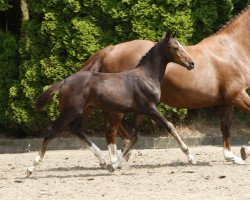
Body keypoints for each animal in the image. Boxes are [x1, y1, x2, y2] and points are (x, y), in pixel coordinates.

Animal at [27, 30, 195, 175]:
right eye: (175, 47)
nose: (191, 63)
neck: (146, 76)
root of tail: (65, 81)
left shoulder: (140, 112)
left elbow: (134, 138)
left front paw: (114, 165)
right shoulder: (150, 108)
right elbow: (169, 126)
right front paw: (190, 157)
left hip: (86, 110)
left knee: (77, 129)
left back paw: (103, 161)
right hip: (71, 111)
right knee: (52, 130)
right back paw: (31, 167)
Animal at [80, 7, 250, 165]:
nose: (191, 63)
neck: (232, 49)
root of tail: (111, 50)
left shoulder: (226, 101)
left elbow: (225, 126)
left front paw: (232, 156)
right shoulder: (237, 95)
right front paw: (244, 151)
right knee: (110, 129)